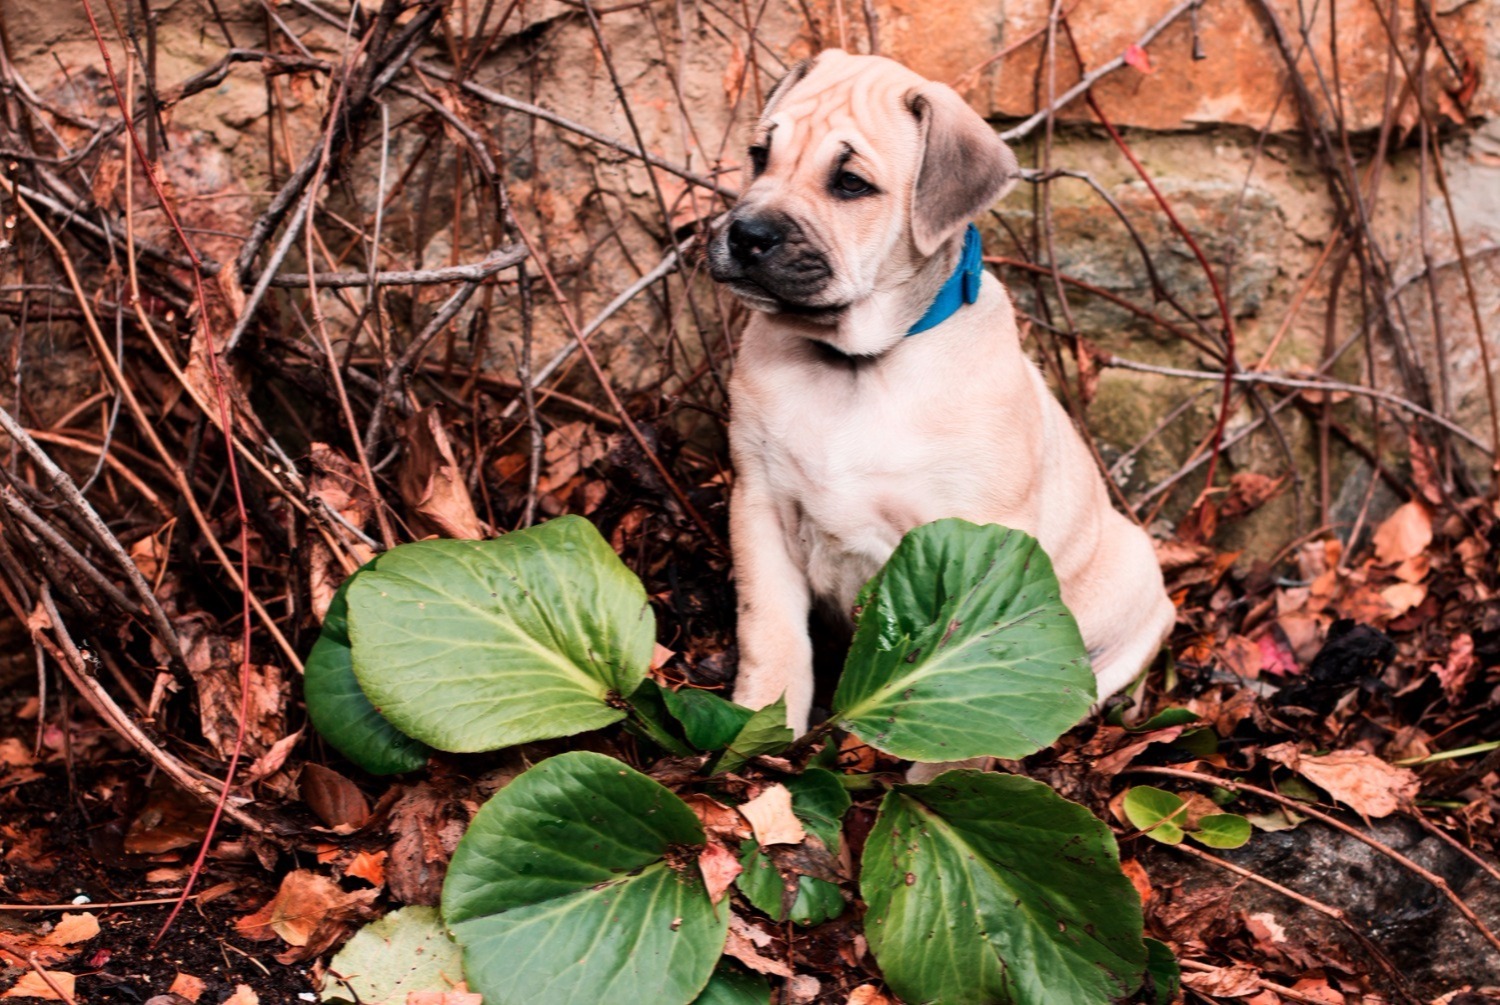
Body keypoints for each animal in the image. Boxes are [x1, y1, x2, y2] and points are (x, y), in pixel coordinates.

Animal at [708, 49, 1176, 741]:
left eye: (851, 184)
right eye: (760, 156)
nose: (745, 234)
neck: (855, 364)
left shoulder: (978, 542)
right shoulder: (760, 504)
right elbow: (770, 630)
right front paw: (758, 729)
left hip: (1135, 576)